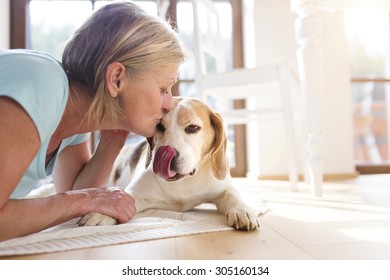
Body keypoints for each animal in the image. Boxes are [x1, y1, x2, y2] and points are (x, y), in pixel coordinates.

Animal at [79, 97, 260, 231]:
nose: (168, 157)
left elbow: (232, 194)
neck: (185, 181)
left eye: (193, 128)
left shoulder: (222, 189)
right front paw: (103, 214)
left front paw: (242, 210)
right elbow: (121, 199)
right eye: (159, 126)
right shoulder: (136, 193)